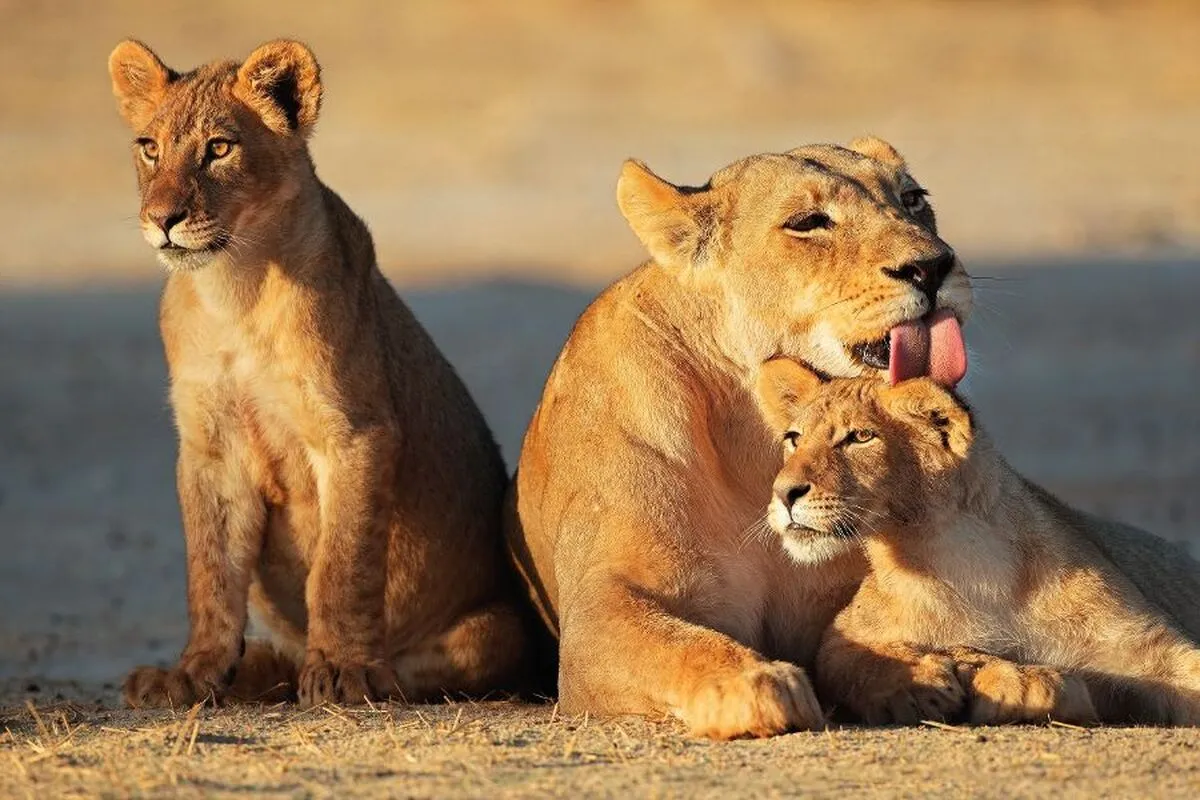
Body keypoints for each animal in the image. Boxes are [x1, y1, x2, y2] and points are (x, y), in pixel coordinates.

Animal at [108, 39, 535, 708]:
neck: (234, 291)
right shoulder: (210, 446)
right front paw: (192, 674)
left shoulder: (355, 432)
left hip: (501, 627)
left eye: (220, 148)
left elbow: (342, 564)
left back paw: (370, 674)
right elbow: (210, 573)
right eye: (149, 147)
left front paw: (341, 670)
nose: (163, 218)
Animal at [506, 138, 973, 737]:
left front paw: (922, 675)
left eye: (912, 199)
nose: (933, 266)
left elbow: (857, 635)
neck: (757, 440)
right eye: (809, 222)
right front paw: (756, 683)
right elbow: (678, 644)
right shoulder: (599, 613)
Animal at [754, 360, 1200, 725]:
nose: (783, 492)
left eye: (861, 437)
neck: (968, 562)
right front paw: (921, 684)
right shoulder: (846, 630)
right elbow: (852, 659)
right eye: (794, 438)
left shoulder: (1149, 649)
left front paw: (1021, 681)